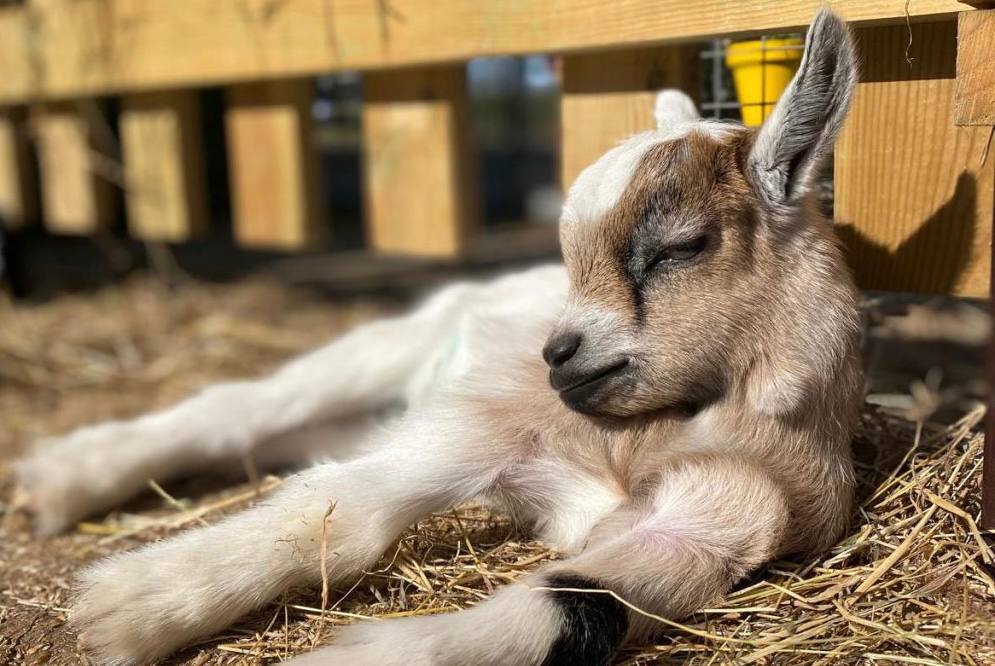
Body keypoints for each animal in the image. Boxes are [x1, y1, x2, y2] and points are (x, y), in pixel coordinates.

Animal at [15, 10, 861, 665]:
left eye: (679, 247)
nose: (556, 354)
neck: (668, 428)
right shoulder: (493, 419)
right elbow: (342, 509)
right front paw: (128, 605)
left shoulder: (726, 517)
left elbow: (577, 605)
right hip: (401, 347)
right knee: (238, 407)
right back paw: (68, 476)